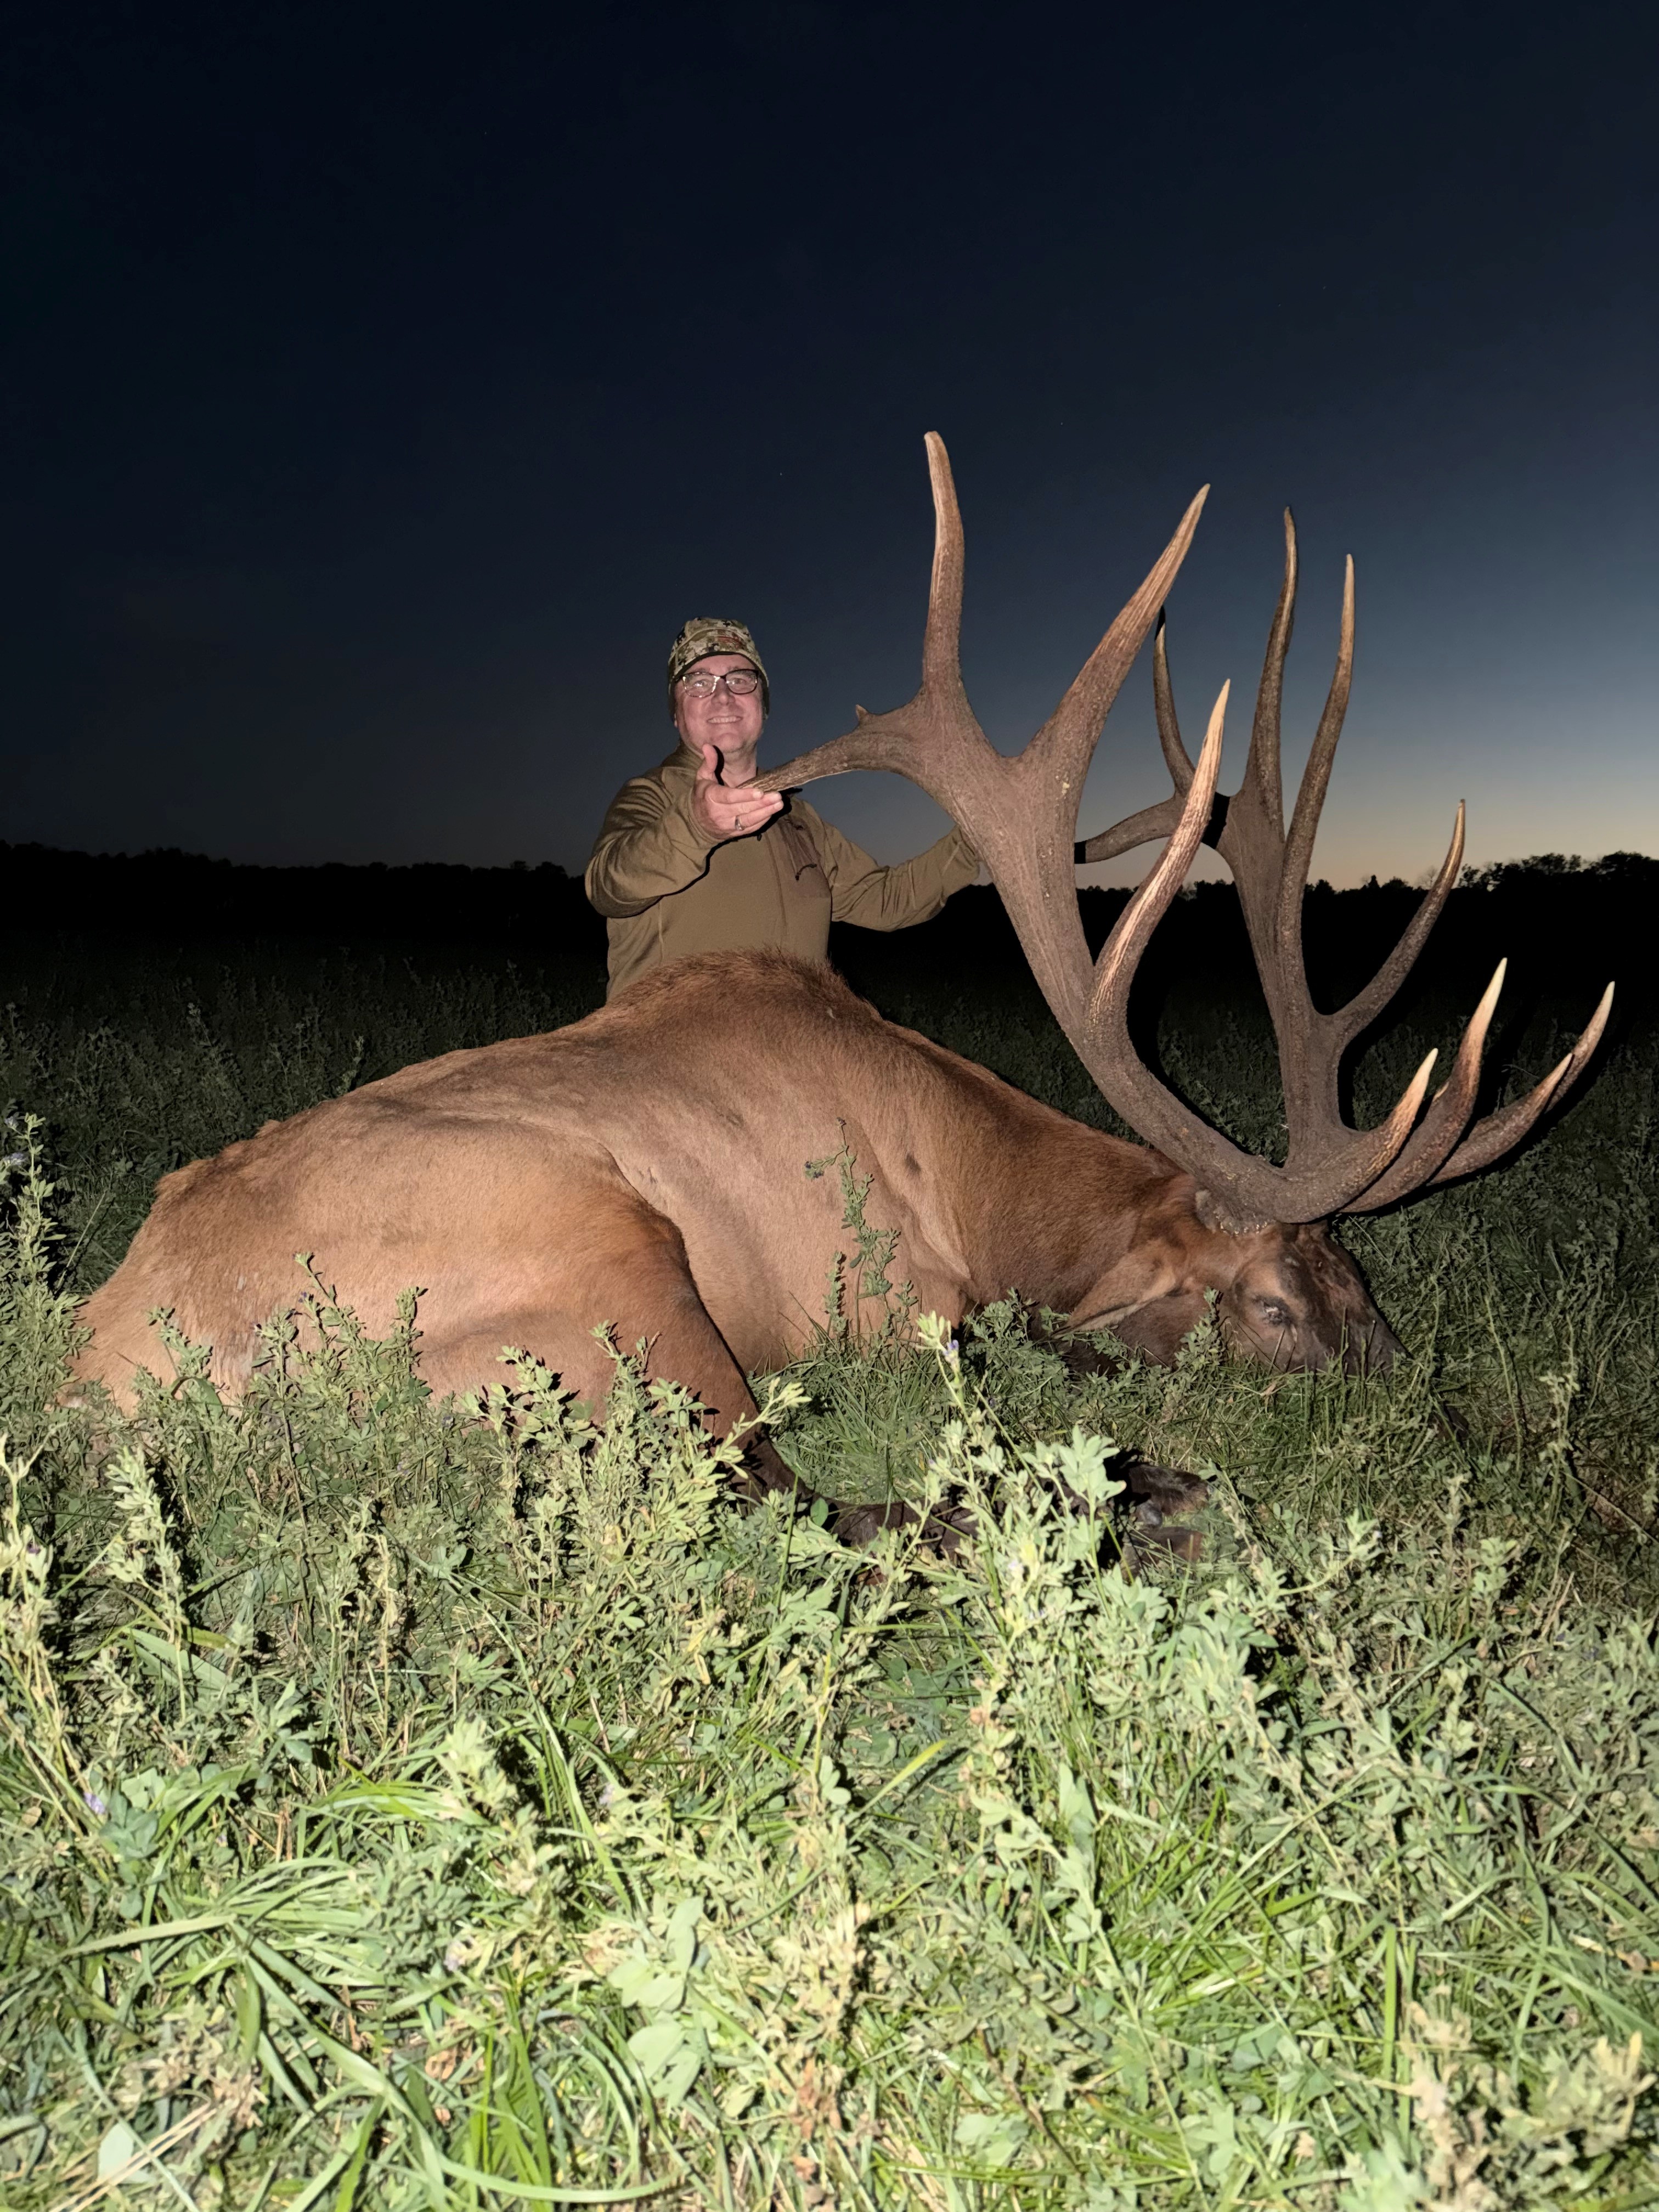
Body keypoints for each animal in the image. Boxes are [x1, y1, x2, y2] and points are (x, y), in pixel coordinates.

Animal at [72, 436, 1611, 1551]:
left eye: (1367, 1284)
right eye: (1276, 1310)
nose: (1430, 1429)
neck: (975, 1183)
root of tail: (109, 1382)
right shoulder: (907, 1302)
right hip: (607, 1275)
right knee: (775, 1500)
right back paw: (1144, 1493)